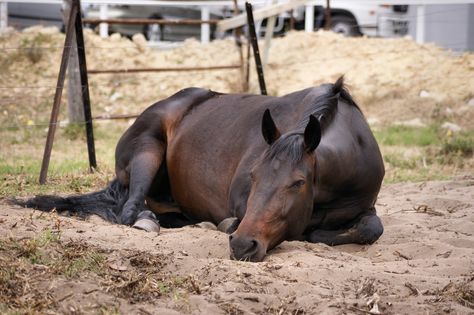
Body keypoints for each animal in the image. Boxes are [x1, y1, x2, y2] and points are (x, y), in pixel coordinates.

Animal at [15, 77, 386, 264]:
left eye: (297, 183)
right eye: (253, 176)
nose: (243, 246)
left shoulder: (365, 206)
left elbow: (372, 228)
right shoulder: (239, 201)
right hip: (147, 151)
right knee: (130, 209)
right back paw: (147, 221)